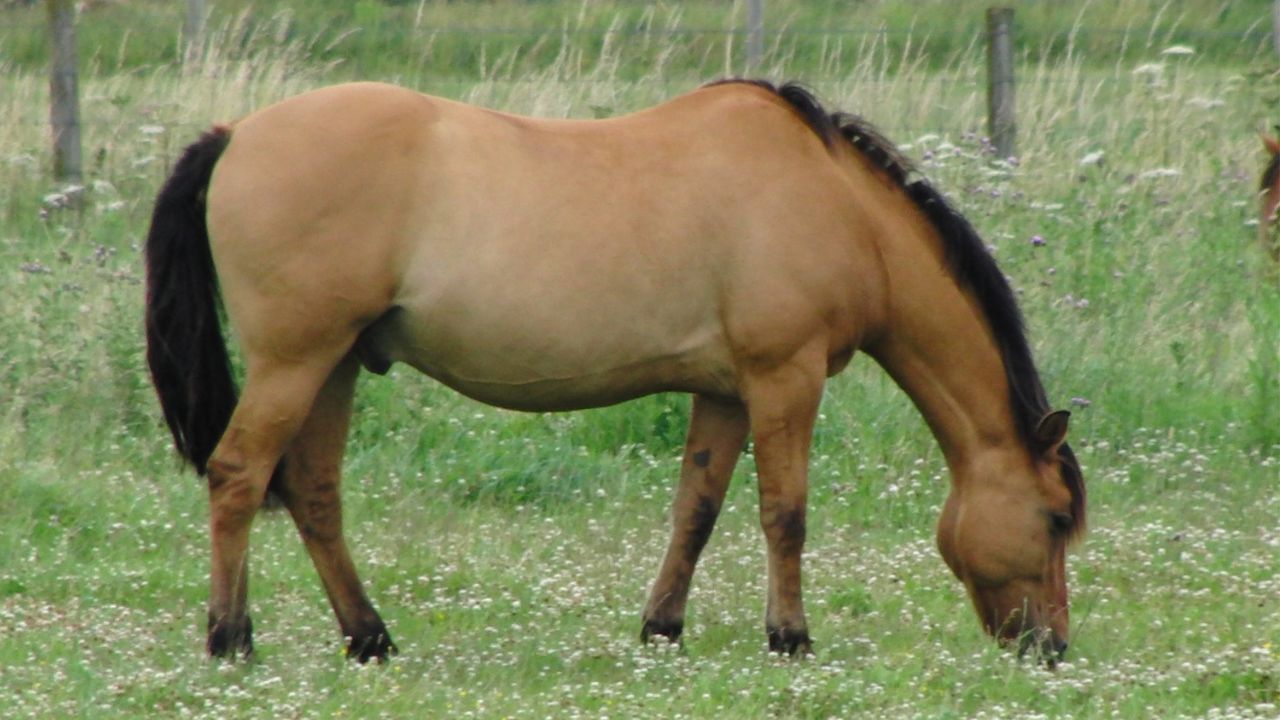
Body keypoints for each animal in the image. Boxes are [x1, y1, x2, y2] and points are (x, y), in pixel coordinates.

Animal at [145, 79, 1086, 664]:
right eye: (1052, 518)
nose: (1052, 647)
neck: (834, 201)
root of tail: (235, 136)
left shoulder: (724, 392)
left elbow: (696, 511)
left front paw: (662, 628)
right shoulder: (785, 378)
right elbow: (784, 514)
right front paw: (789, 636)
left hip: (336, 363)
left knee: (312, 493)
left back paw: (369, 636)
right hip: (295, 361)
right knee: (238, 476)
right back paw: (231, 638)